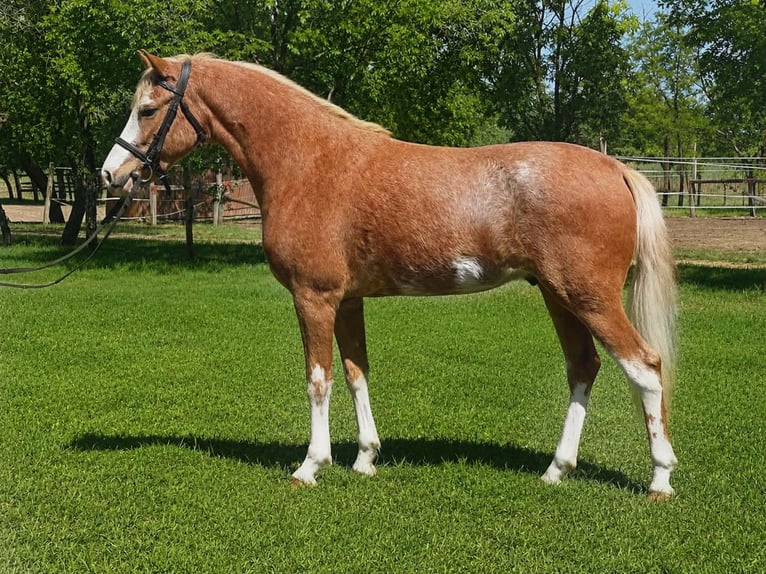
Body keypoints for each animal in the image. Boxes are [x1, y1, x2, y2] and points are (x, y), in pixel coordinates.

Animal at [101, 51, 678, 500]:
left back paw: (659, 480)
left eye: (147, 109)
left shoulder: (314, 298)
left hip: (590, 298)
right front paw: (365, 458)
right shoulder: (347, 300)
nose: (112, 174)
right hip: (560, 298)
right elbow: (356, 372)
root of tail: (615, 169)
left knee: (645, 367)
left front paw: (310, 466)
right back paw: (556, 470)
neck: (309, 161)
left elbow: (318, 379)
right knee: (583, 368)